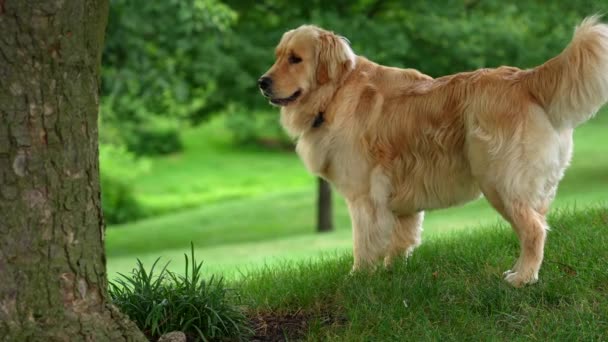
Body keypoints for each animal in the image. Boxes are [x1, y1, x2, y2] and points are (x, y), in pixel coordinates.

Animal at [258, 17, 608, 288]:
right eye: (278, 56)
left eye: (295, 59)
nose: (262, 82)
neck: (336, 92)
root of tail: (524, 79)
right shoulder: (398, 195)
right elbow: (401, 238)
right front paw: (392, 272)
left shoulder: (364, 196)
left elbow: (364, 243)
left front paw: (358, 279)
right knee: (540, 224)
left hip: (501, 182)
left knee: (534, 231)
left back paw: (522, 277)